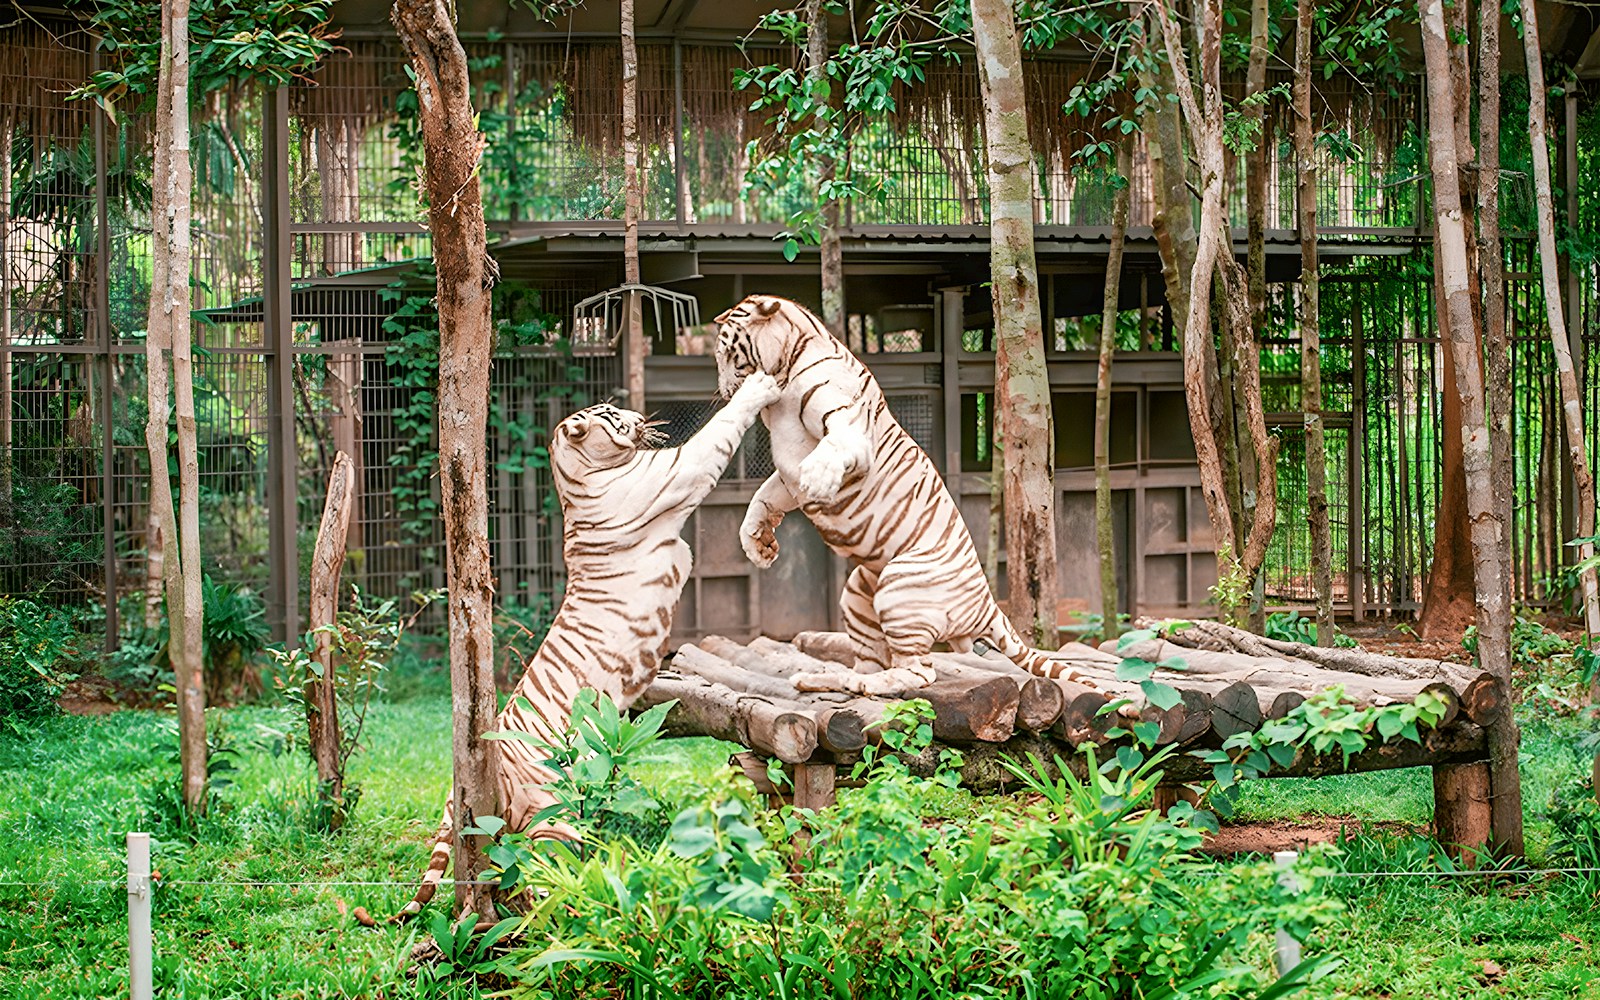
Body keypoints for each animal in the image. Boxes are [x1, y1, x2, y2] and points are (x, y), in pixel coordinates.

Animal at [401, 370, 782, 918]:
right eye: (609, 415)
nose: (637, 415)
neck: (578, 473)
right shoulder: (680, 471)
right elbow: (719, 429)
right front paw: (760, 385)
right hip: (551, 813)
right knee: (536, 877)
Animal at [713, 293, 1096, 697]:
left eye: (726, 352)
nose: (725, 393)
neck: (782, 385)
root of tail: (988, 604)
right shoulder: (785, 478)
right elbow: (763, 497)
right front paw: (757, 544)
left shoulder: (847, 425)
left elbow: (831, 449)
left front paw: (817, 480)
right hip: (859, 591)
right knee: (871, 662)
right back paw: (824, 679)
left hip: (899, 588)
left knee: (917, 673)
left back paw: (864, 683)